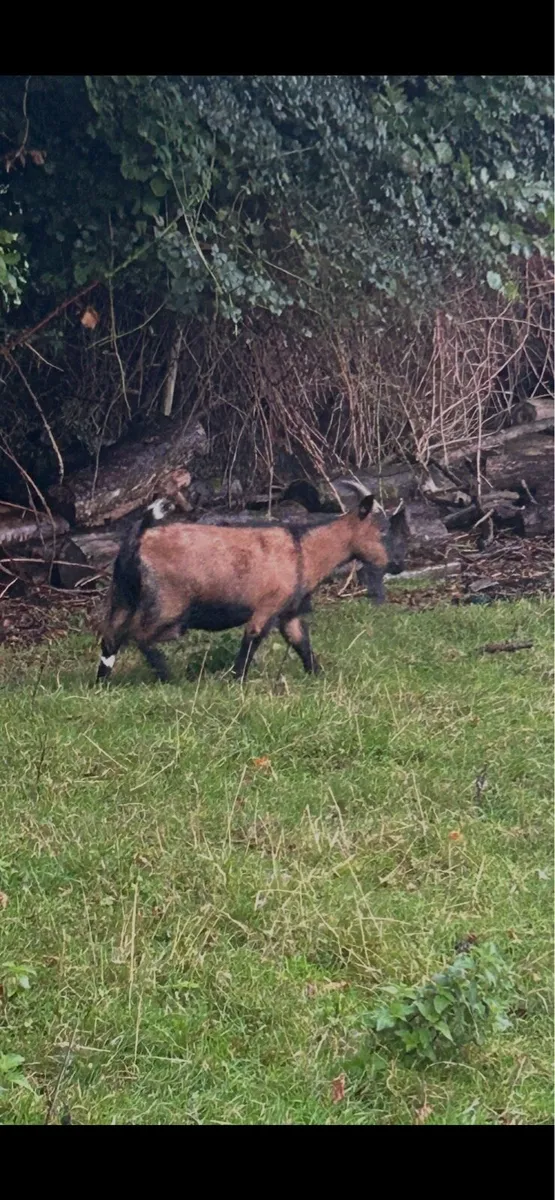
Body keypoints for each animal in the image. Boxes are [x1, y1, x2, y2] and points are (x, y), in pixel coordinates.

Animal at [96, 485, 407, 685]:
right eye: (382, 530)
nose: (398, 564)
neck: (303, 550)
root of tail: (140, 538)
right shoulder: (267, 607)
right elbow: (252, 639)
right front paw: (237, 683)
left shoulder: (288, 613)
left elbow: (301, 643)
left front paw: (319, 676)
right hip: (168, 605)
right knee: (140, 635)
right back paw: (169, 679)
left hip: (122, 598)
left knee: (110, 638)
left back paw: (102, 684)